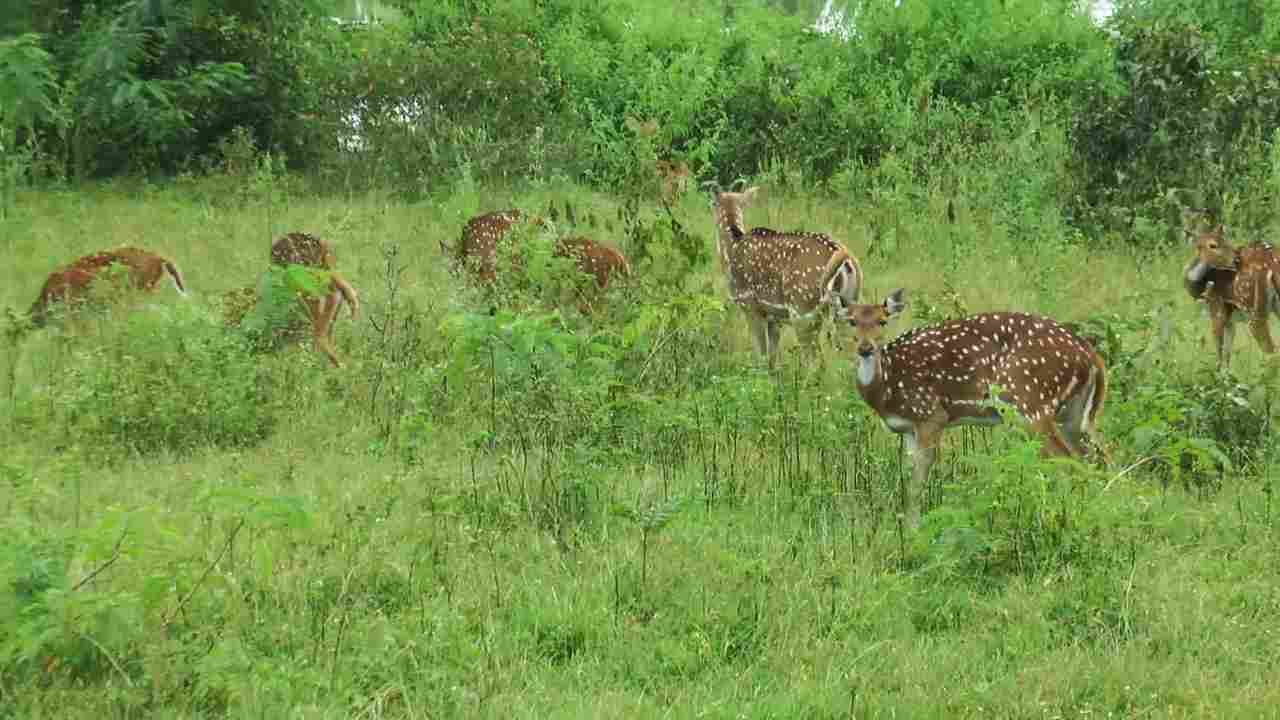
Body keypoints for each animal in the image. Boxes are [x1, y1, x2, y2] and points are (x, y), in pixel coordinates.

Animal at [711, 184, 860, 363]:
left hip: (802, 309)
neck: (731, 251)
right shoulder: (774, 317)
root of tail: (845, 257)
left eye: (712, 203)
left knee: (815, 358)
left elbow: (761, 354)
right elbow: (772, 357)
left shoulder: (749, 304)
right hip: (847, 306)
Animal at [844, 288, 1105, 530]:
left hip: (1031, 403)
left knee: (1067, 460)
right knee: (1097, 457)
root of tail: (1090, 356)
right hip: (1074, 415)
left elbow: (918, 481)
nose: (865, 348)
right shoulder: (908, 429)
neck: (887, 388)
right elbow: (909, 477)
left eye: (882, 321)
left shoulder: (931, 414)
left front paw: (912, 529)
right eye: (851, 321)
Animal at [1177, 207, 1280, 363]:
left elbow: (1219, 356)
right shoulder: (1231, 322)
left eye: (1224, 240)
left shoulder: (1217, 310)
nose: (1236, 259)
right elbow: (1227, 356)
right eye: (1213, 245)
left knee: (1270, 349)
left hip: (1253, 308)